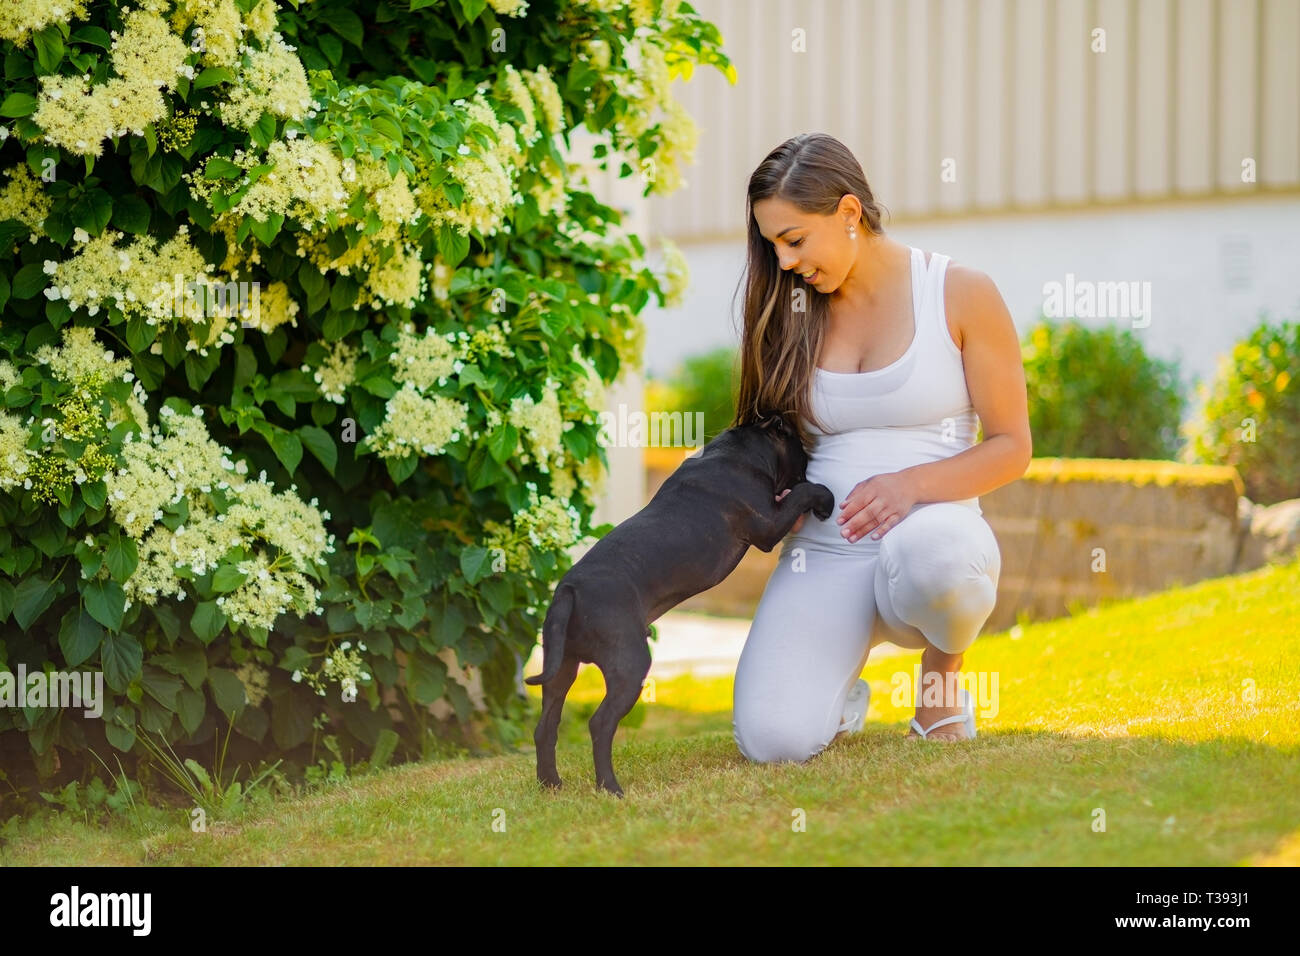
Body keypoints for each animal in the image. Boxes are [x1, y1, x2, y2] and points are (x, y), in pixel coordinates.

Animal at [525, 411, 832, 790]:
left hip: (562, 666)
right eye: (803, 453)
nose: (813, 461)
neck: (740, 450)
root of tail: (571, 590)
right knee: (600, 723)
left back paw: (551, 784)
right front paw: (824, 496)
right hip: (629, 664)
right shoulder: (768, 523)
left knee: (546, 726)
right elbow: (801, 493)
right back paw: (610, 788)